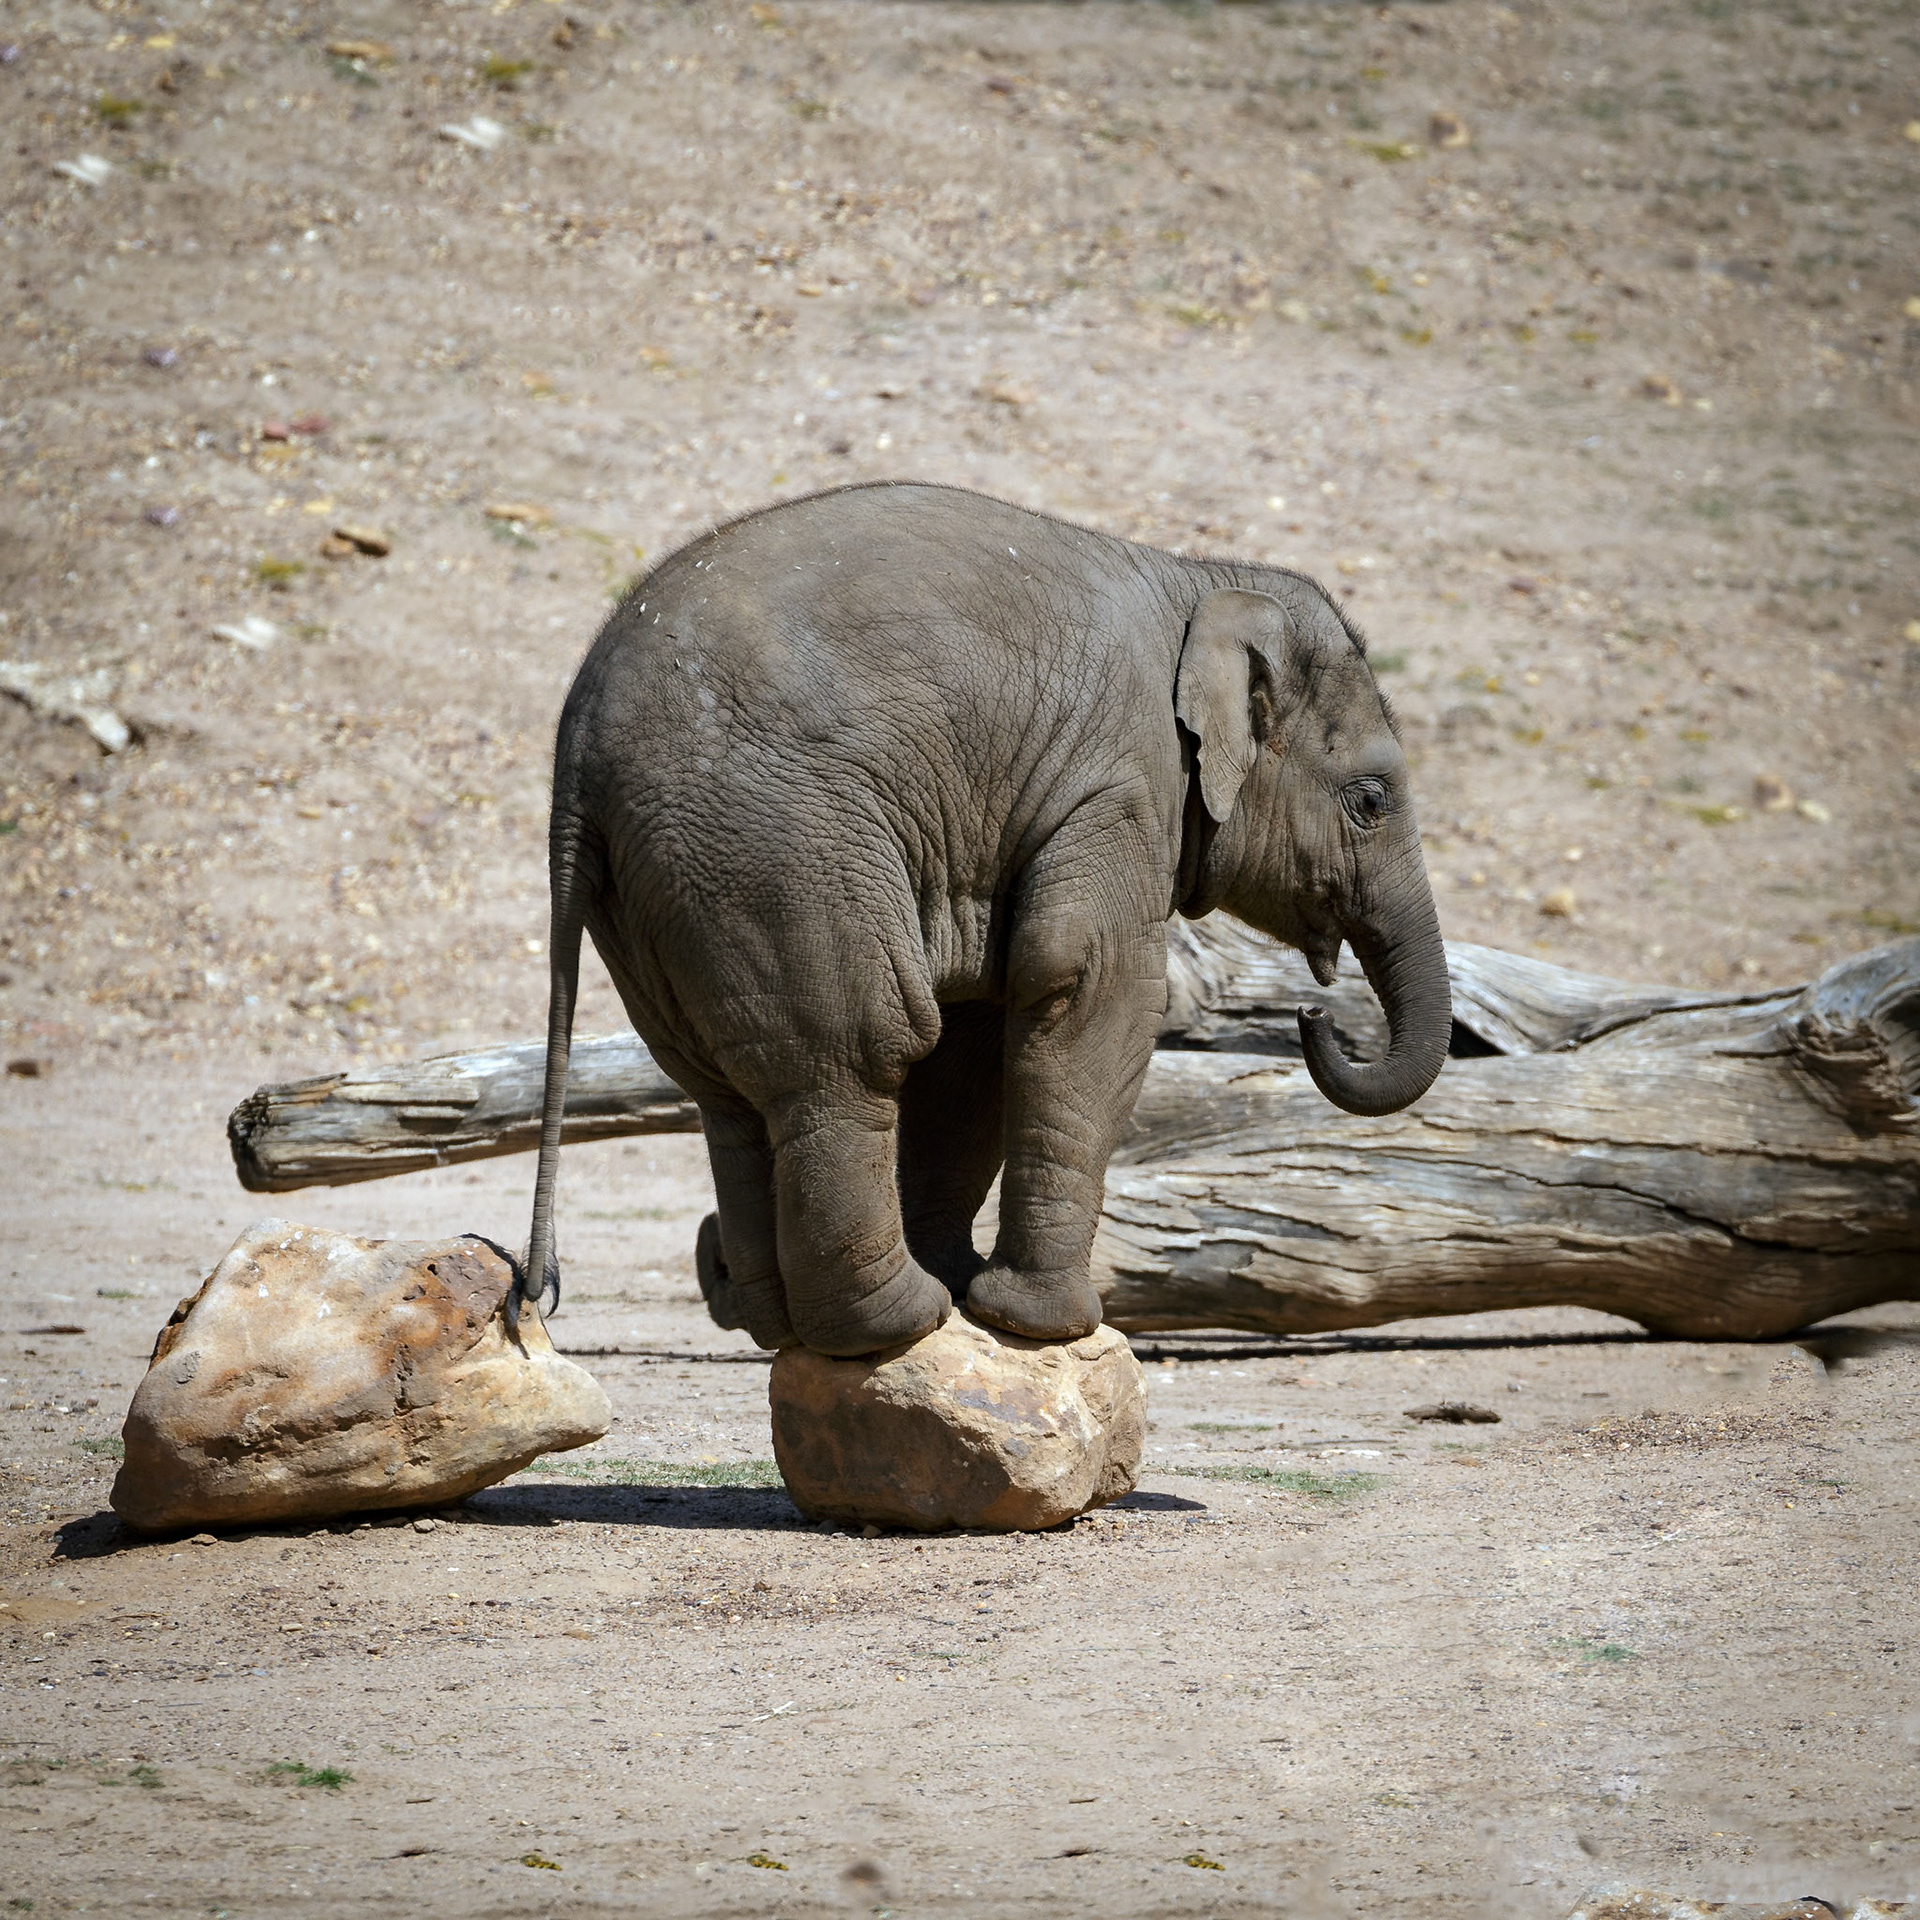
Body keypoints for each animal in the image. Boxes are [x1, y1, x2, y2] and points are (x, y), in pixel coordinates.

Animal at [518, 481, 1449, 1356]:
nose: (1313, 1015)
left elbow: (979, 1038)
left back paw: (792, 1328)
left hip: (657, 894)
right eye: (1369, 802)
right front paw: (1044, 1325)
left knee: (727, 1091)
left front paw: (975, 1292)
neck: (1202, 580)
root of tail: (576, 748)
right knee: (856, 1050)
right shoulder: (1121, 784)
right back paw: (898, 1324)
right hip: (770, 848)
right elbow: (1092, 987)